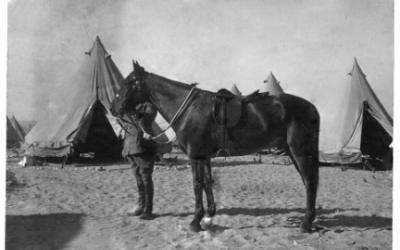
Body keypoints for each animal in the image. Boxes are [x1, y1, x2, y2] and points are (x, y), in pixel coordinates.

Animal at [111, 61, 320, 233]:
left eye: (129, 83)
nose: (113, 108)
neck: (189, 110)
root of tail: (312, 108)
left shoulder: (195, 156)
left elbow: (197, 185)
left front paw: (195, 221)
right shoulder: (204, 156)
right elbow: (207, 183)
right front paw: (209, 216)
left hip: (300, 152)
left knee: (310, 182)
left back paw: (306, 224)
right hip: (293, 152)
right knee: (308, 181)